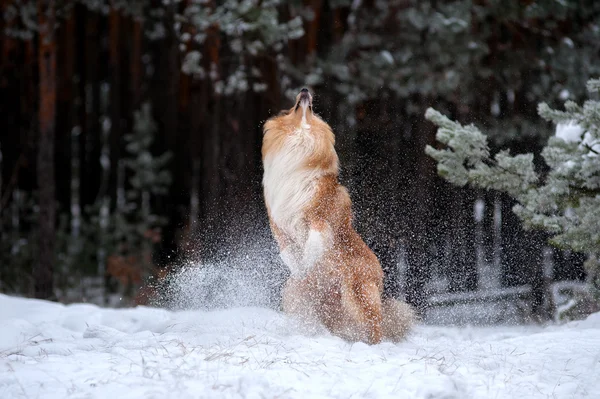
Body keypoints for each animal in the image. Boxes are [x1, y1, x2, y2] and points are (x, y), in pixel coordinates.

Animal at [262, 89, 412, 346]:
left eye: (312, 109)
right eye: (292, 107)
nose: (305, 90)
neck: (300, 138)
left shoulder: (318, 218)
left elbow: (313, 242)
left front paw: (308, 262)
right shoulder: (279, 226)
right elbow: (288, 252)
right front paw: (300, 269)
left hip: (357, 291)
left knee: (375, 327)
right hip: (296, 295)